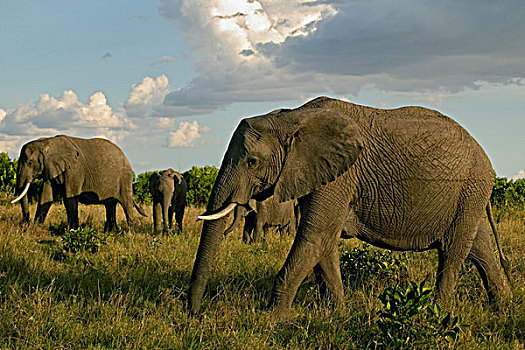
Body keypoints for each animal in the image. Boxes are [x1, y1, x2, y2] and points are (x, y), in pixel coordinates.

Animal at [11, 135, 146, 231]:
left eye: (30, 163)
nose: (24, 224)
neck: (46, 142)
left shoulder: (74, 170)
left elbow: (69, 198)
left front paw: (71, 231)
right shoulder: (50, 168)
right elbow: (46, 197)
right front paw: (36, 228)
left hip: (124, 177)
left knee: (125, 202)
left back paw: (129, 232)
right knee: (110, 204)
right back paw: (111, 232)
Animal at [189, 95, 512, 320]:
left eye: (252, 162)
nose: (193, 313)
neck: (290, 118)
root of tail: (486, 158)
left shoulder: (340, 176)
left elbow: (315, 237)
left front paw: (271, 320)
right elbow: (324, 243)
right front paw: (335, 313)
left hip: (470, 188)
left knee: (453, 251)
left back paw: (435, 313)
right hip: (469, 195)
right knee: (480, 247)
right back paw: (504, 307)